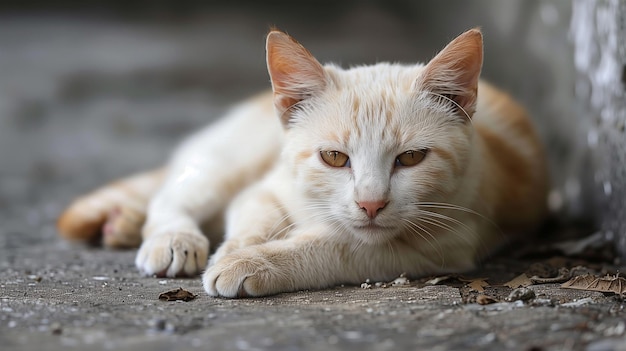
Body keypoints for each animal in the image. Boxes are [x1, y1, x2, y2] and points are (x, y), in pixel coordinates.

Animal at [57, 28, 544, 296]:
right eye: (334, 157)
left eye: (410, 158)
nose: (371, 204)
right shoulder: (265, 188)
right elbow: (253, 216)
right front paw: (237, 250)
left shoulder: (446, 243)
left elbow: (335, 246)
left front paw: (249, 262)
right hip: (229, 162)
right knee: (173, 194)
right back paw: (171, 237)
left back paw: (123, 224)